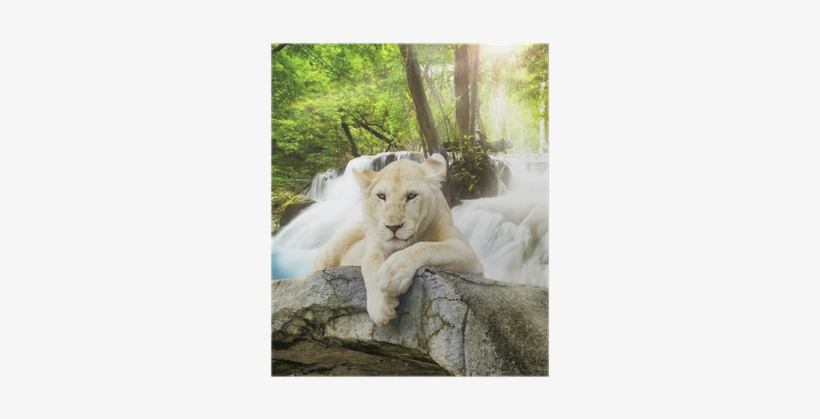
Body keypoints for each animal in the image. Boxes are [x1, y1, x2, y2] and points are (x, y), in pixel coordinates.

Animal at [309, 153, 484, 326]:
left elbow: (427, 246)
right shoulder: (374, 245)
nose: (392, 227)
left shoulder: (466, 251)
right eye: (381, 196)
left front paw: (393, 273)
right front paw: (380, 306)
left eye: (411, 196)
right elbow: (370, 264)